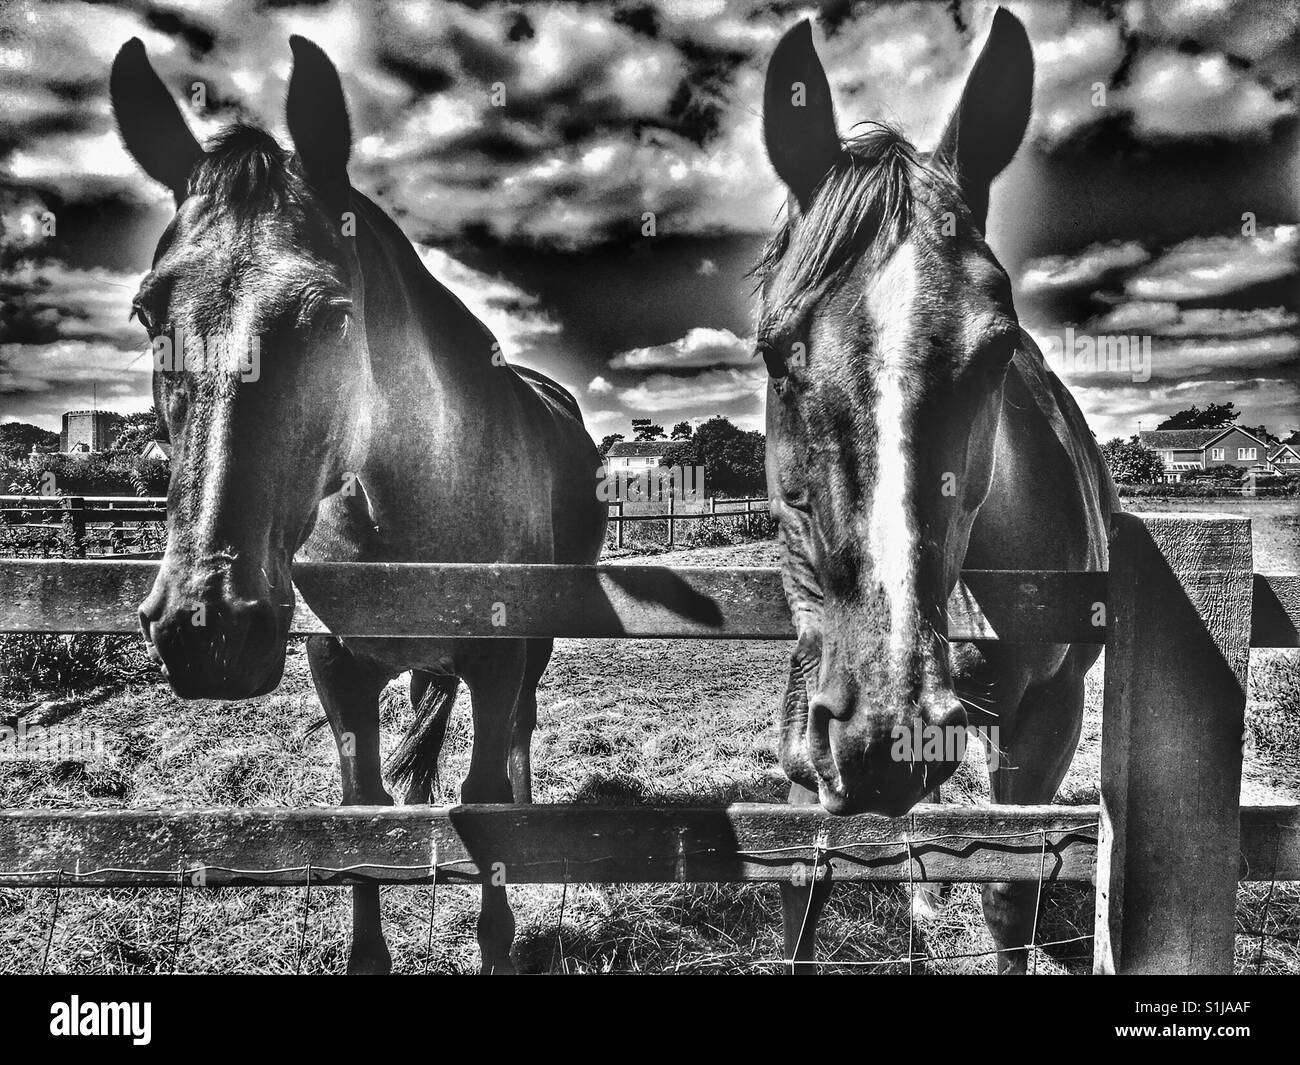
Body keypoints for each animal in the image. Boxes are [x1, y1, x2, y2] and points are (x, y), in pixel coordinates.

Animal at [109, 35, 606, 974]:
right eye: (147, 312)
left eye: (334, 317)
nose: (206, 626)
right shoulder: (336, 665)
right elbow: (360, 812)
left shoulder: (498, 655)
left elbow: (486, 794)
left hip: (536, 641)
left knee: (518, 738)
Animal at [754, 9, 1116, 973]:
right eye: (775, 354)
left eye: (998, 350)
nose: (886, 727)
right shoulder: (812, 720)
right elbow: (806, 881)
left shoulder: (1047, 719)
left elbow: (1009, 886)